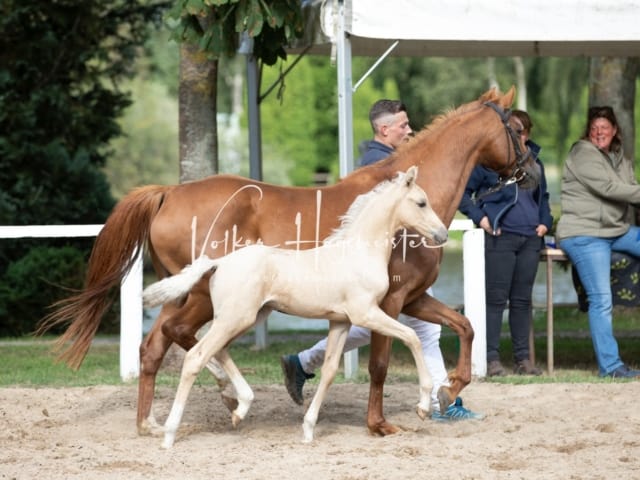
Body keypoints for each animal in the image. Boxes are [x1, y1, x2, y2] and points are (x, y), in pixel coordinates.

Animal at [143, 167, 448, 448]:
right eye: (421, 202)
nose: (443, 234)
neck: (358, 253)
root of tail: (218, 263)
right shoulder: (367, 313)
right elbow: (412, 338)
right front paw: (423, 406)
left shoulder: (341, 321)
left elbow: (329, 371)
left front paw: (309, 429)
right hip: (235, 319)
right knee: (196, 356)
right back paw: (169, 433)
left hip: (246, 317)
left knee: (218, 350)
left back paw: (240, 408)